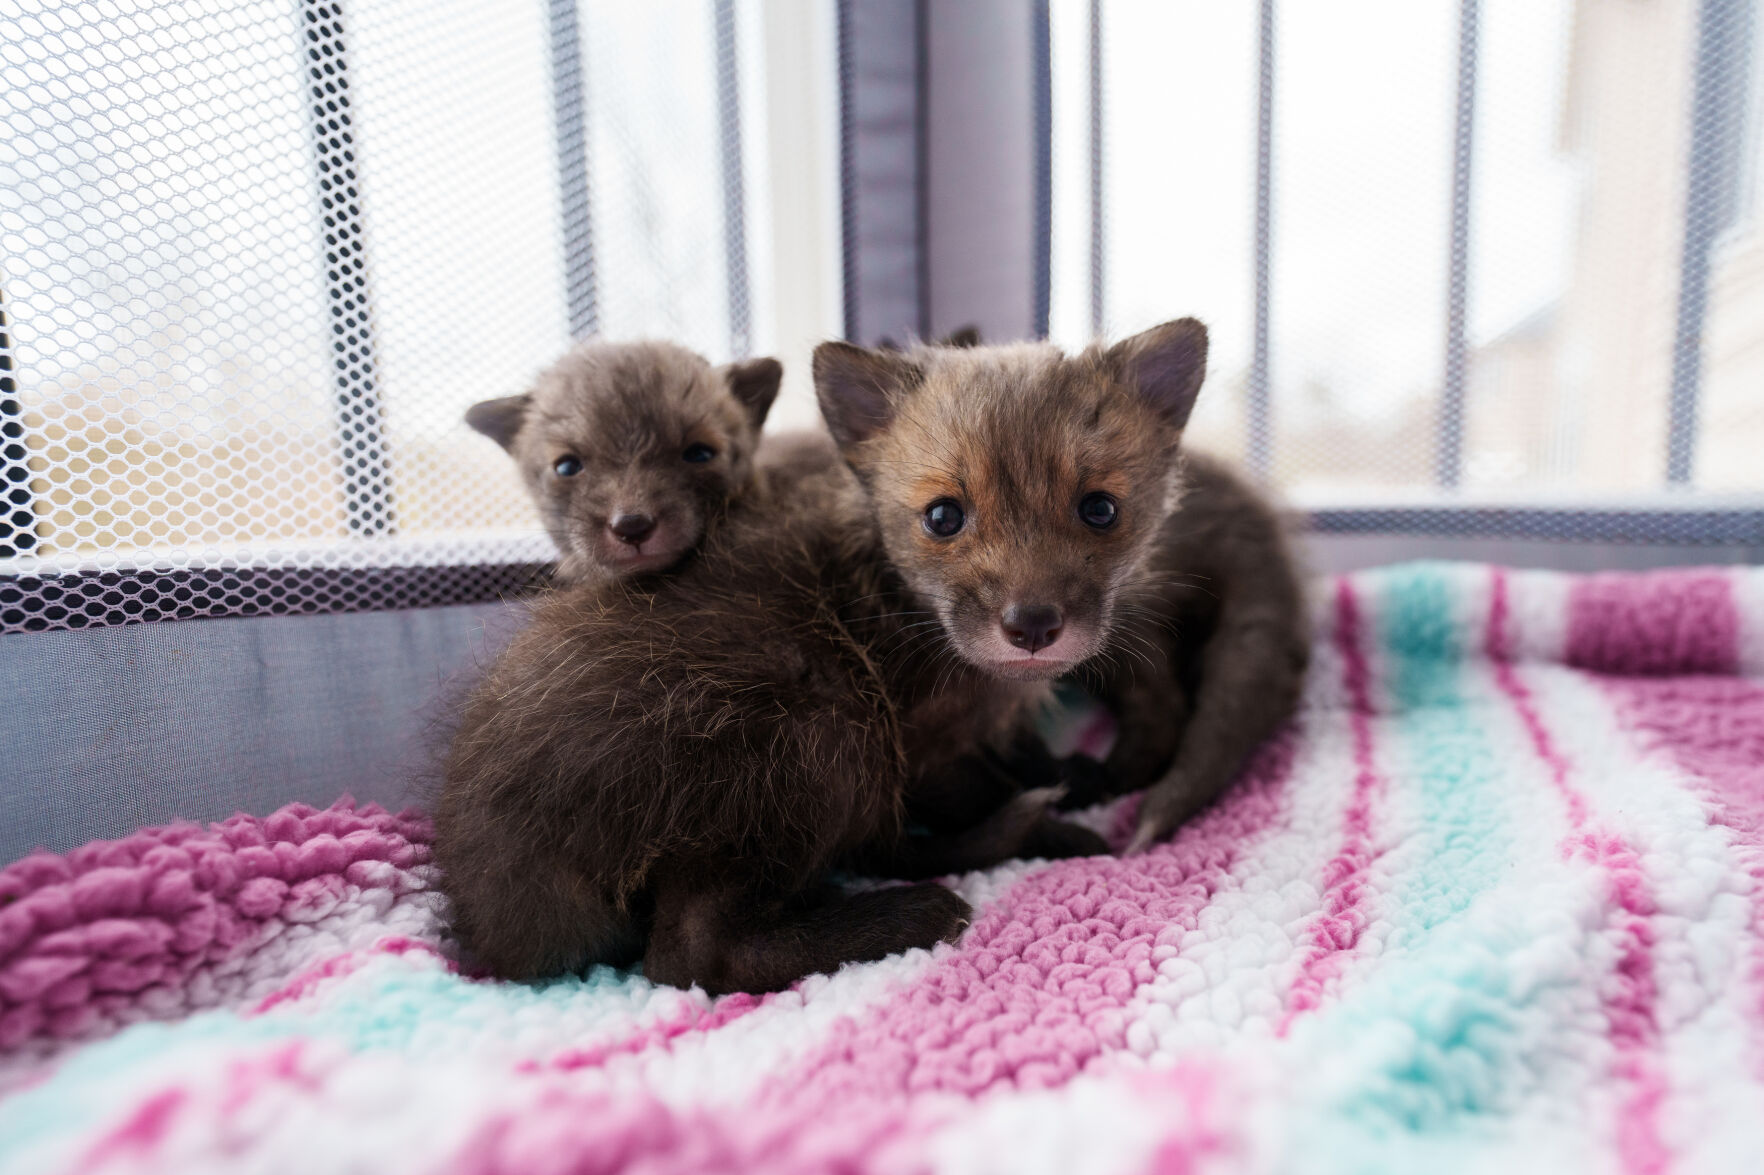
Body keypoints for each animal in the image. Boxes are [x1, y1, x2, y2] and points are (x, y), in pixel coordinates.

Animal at [812, 317, 1310, 854]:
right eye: (943, 517)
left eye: (1100, 509)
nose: (1032, 628)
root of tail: (1253, 525)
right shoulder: (933, 742)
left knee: (1164, 704)